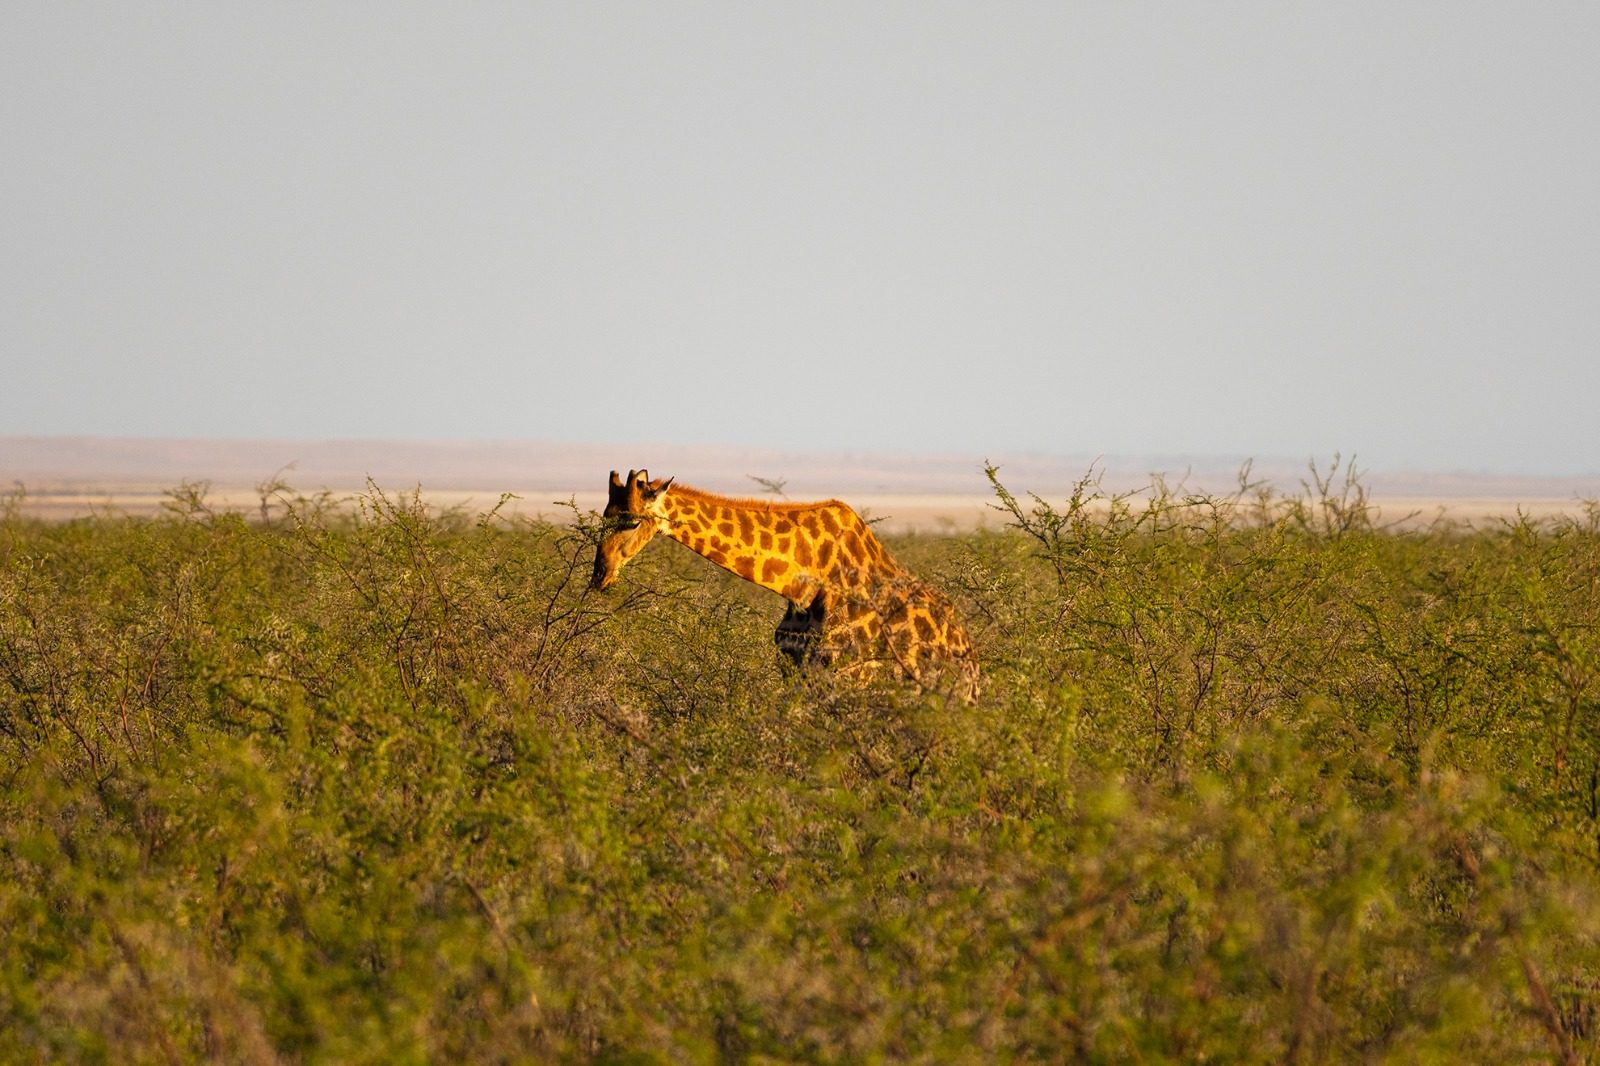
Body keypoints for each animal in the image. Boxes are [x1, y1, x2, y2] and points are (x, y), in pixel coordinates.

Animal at [589, 469, 980, 700]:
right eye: (604, 518)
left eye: (632, 522)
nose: (600, 575)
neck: (804, 581)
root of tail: (971, 654)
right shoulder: (794, 668)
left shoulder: (852, 674)